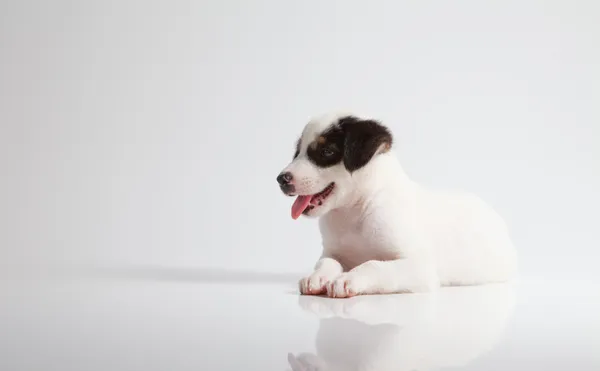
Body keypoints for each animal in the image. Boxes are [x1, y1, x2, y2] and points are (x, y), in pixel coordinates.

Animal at [276, 112, 516, 298]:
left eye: (326, 152)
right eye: (297, 152)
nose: (281, 179)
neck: (355, 211)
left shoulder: (419, 267)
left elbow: (373, 265)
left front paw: (349, 279)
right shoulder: (332, 252)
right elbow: (326, 263)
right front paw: (317, 277)